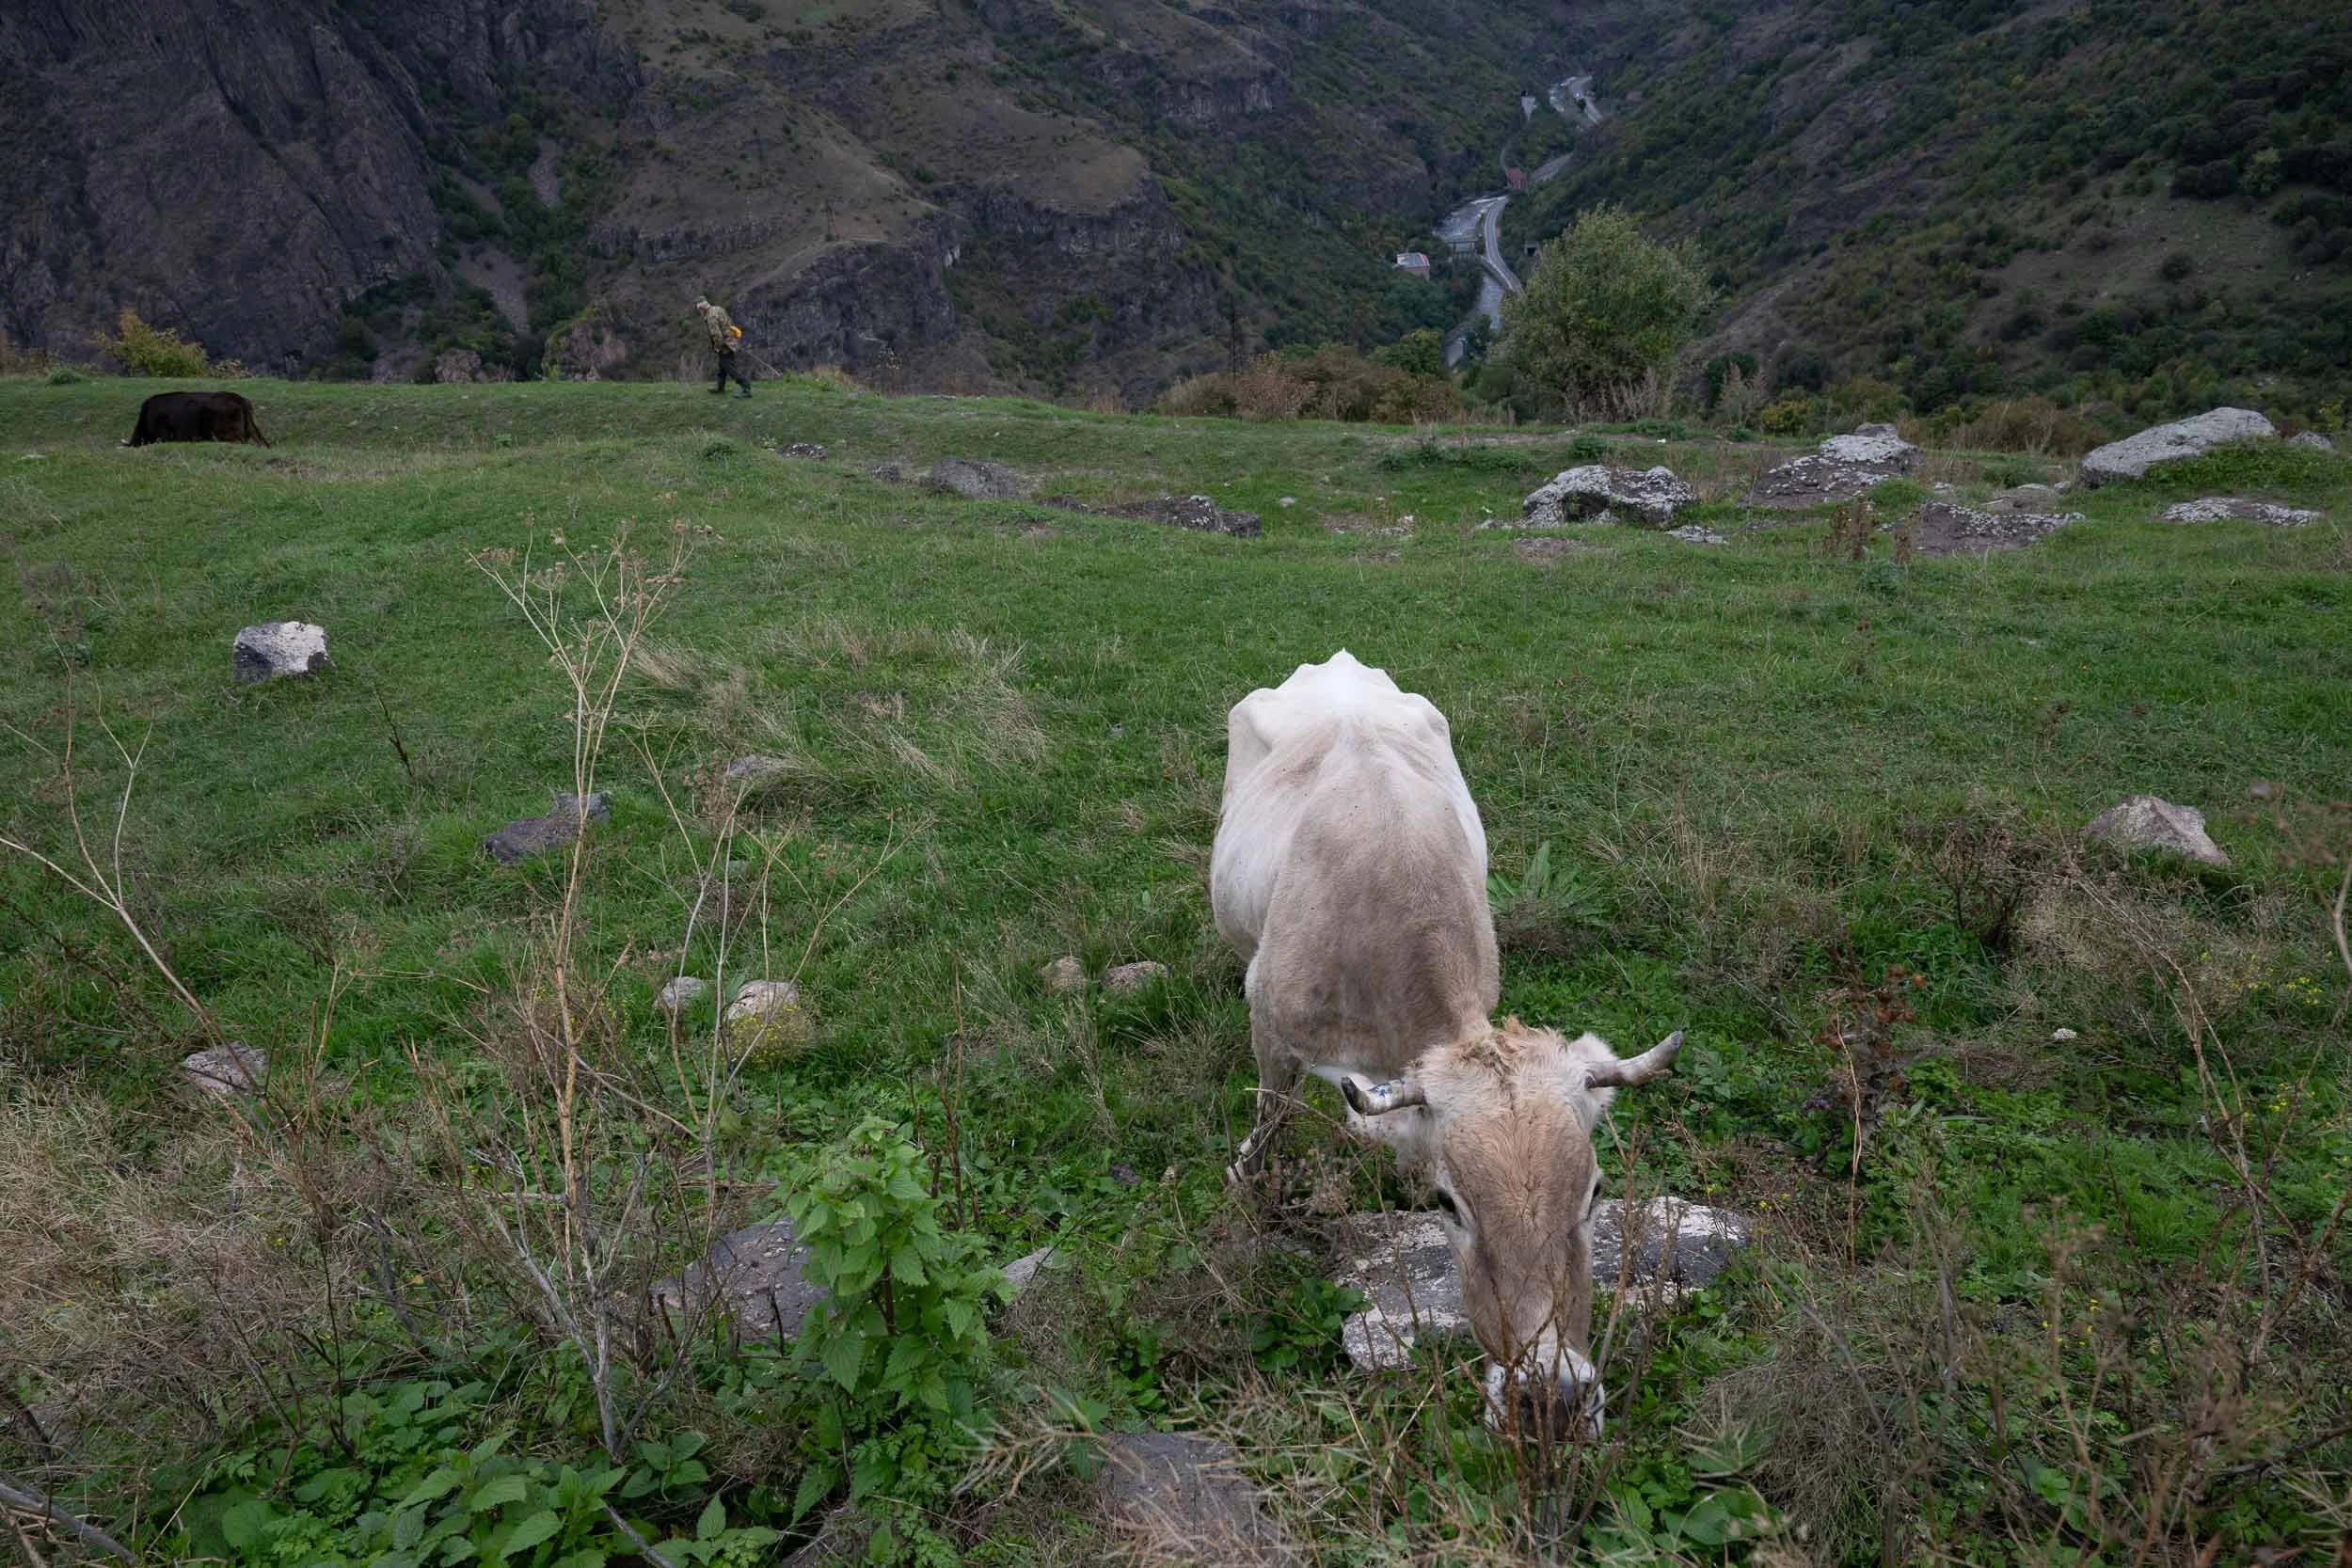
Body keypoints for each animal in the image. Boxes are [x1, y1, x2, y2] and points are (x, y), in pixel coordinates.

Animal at [1209, 650, 1681, 1442]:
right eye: (1450, 1204)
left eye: (1595, 1191)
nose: (1550, 1401)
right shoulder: (1270, 1019)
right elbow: (1273, 1113)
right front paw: (1248, 1182)